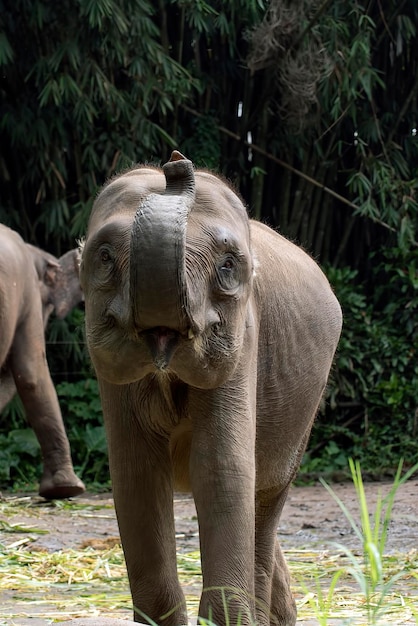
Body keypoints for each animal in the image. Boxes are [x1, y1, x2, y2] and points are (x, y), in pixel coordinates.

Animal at [79, 152, 342, 624]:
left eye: (228, 267)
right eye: (104, 257)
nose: (175, 165)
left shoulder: (246, 341)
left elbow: (220, 469)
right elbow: (136, 476)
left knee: (265, 499)